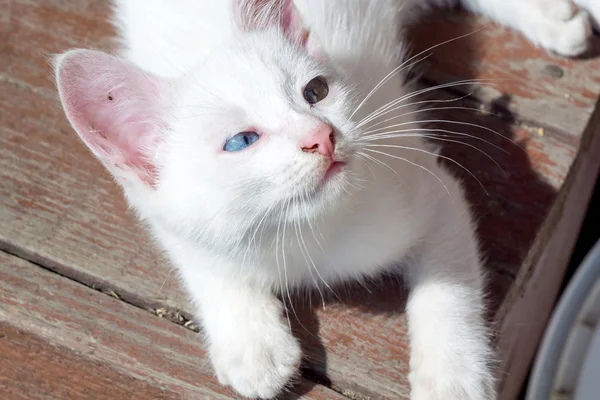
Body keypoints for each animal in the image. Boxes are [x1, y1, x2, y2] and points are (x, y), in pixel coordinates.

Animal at [54, 0, 596, 400]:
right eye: (241, 141)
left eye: (315, 91)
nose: (321, 136)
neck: (309, 232)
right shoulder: (166, 213)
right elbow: (199, 258)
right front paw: (251, 343)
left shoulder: (430, 190)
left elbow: (447, 291)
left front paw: (451, 376)